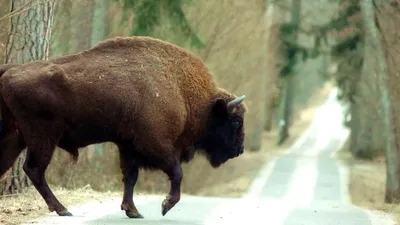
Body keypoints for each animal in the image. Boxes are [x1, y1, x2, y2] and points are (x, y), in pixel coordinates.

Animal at [0, 36, 247, 218]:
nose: (239, 150)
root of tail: (10, 71)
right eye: (235, 121)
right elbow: (176, 172)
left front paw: (133, 211)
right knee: (34, 169)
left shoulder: (128, 147)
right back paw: (62, 209)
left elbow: (130, 177)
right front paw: (165, 205)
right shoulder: (156, 145)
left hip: (15, 137)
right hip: (42, 138)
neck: (184, 92)